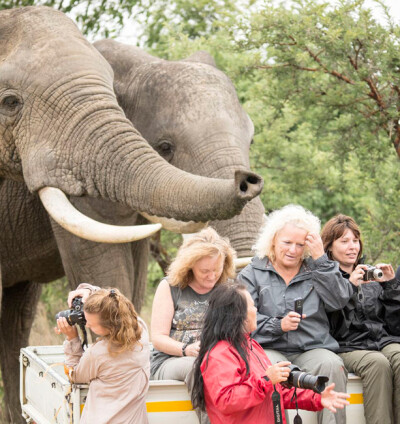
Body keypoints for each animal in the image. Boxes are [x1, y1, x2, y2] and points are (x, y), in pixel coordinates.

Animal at [0, 6, 262, 420]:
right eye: (165, 146)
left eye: (251, 139)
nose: (248, 180)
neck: (141, 62)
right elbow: (103, 263)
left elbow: (134, 278)